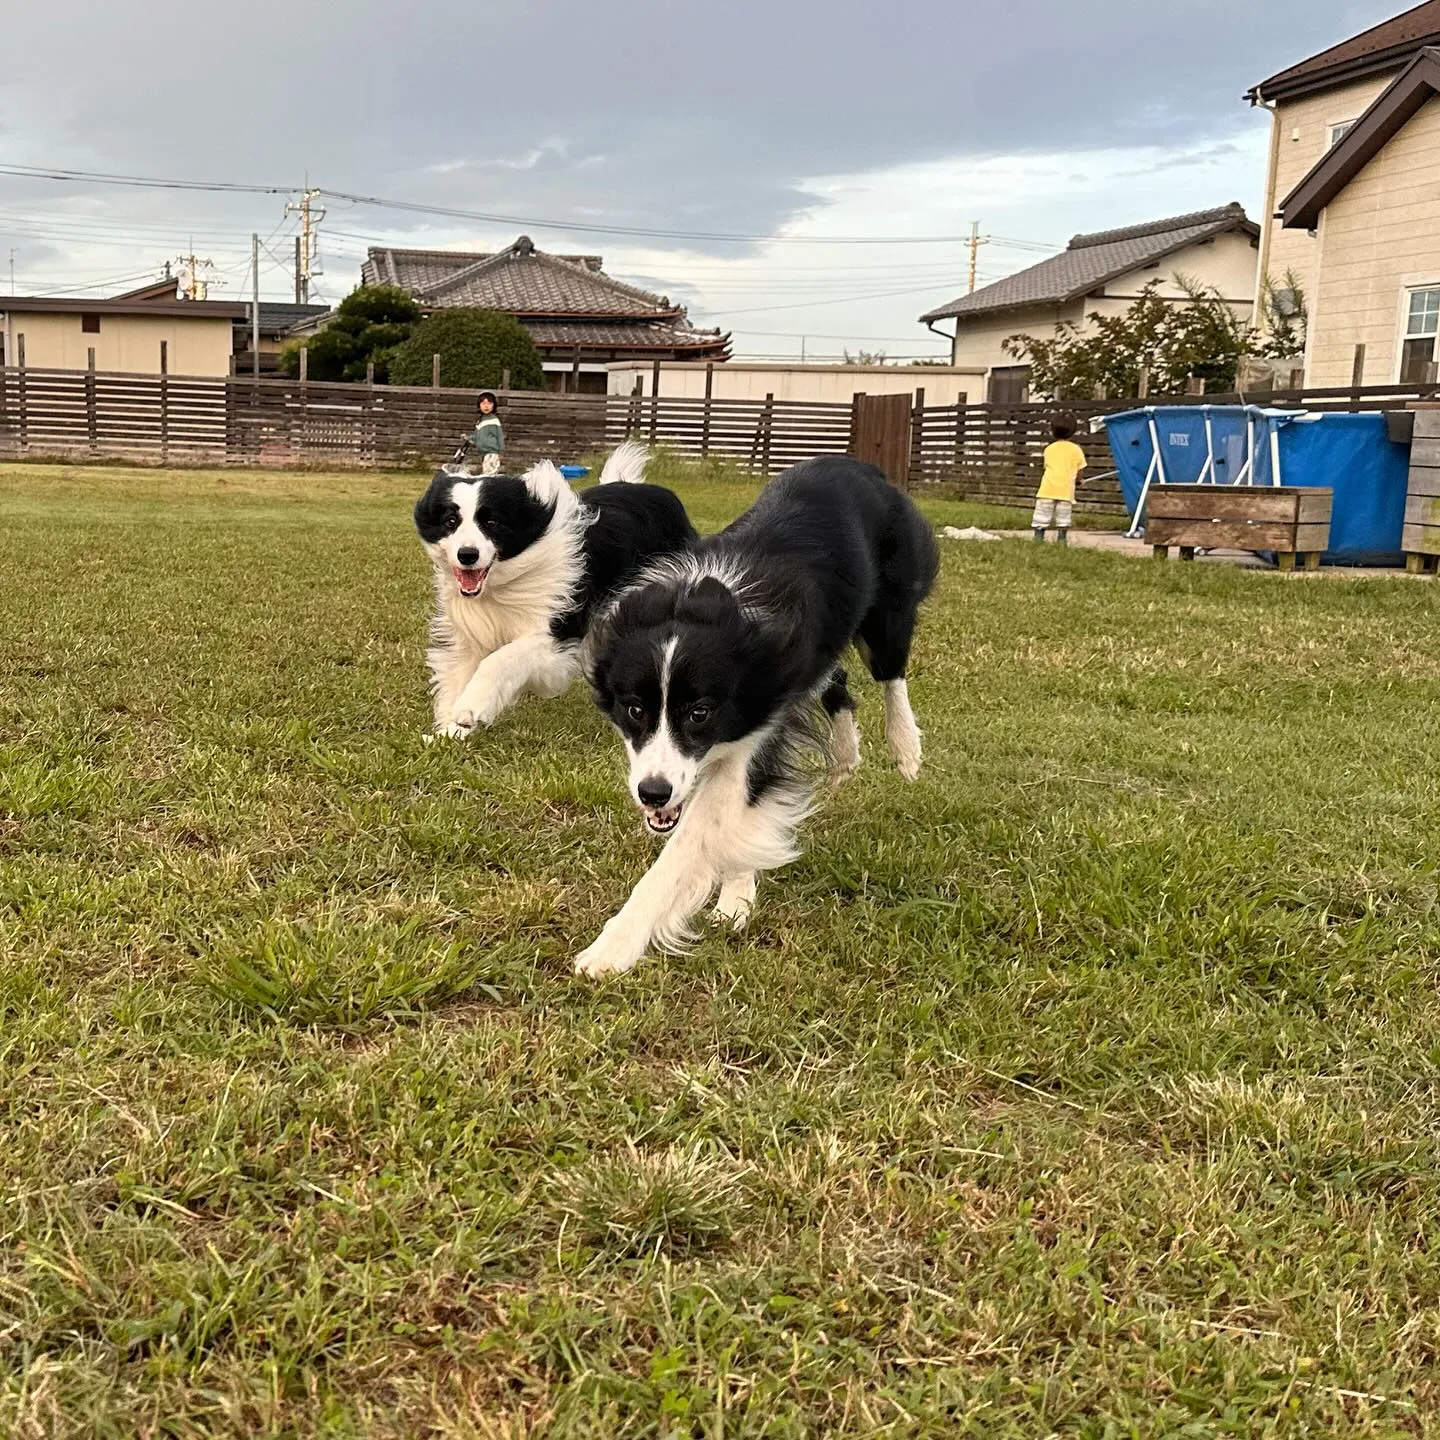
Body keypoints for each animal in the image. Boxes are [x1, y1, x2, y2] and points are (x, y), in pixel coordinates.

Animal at [411, 440, 696, 737]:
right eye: (450, 522)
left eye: (491, 523)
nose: (467, 555)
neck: (503, 583)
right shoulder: (470, 630)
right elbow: (459, 671)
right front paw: (451, 732)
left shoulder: (557, 631)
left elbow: (502, 658)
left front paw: (470, 708)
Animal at [578, 457, 938, 979]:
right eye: (635, 709)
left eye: (700, 713)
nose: (653, 794)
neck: (702, 604)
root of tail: (859, 465)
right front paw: (736, 897)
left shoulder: (758, 724)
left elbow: (692, 841)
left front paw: (613, 947)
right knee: (837, 678)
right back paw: (845, 756)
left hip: (887, 609)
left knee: (891, 673)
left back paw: (906, 748)